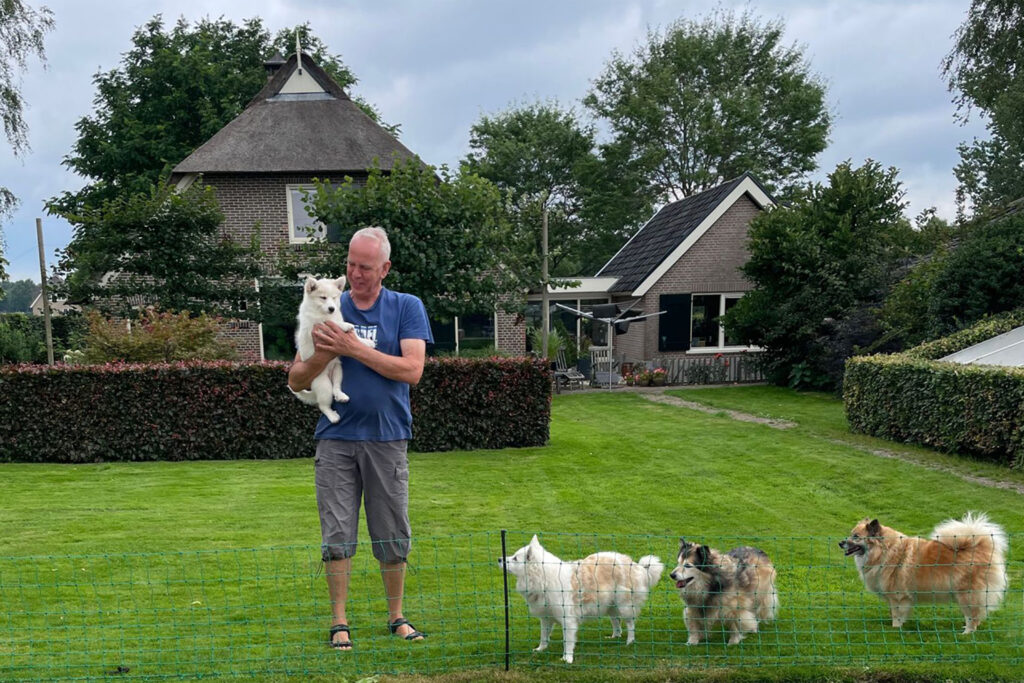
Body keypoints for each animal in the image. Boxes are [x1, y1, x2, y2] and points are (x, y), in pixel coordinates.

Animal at [290, 274, 374, 423]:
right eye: (323, 297)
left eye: (334, 297)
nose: (332, 309)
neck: (322, 312)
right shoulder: (314, 327)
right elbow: (328, 323)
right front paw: (345, 325)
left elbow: (353, 334)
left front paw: (366, 342)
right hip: (323, 385)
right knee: (323, 405)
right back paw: (332, 416)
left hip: (338, 371)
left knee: (336, 387)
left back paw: (341, 395)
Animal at [501, 532, 663, 663]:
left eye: (515, 558)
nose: (499, 559)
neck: (543, 577)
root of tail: (637, 565)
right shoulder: (546, 617)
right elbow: (544, 635)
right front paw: (541, 649)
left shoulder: (568, 619)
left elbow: (567, 641)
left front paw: (567, 658)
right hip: (610, 606)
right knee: (617, 623)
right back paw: (614, 637)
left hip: (625, 606)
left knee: (630, 625)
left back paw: (629, 642)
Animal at [839, 509, 1007, 634]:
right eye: (851, 534)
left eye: (856, 537)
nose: (840, 543)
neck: (885, 551)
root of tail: (980, 547)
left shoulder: (898, 596)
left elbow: (896, 614)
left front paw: (895, 628)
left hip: (966, 594)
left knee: (973, 616)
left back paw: (966, 634)